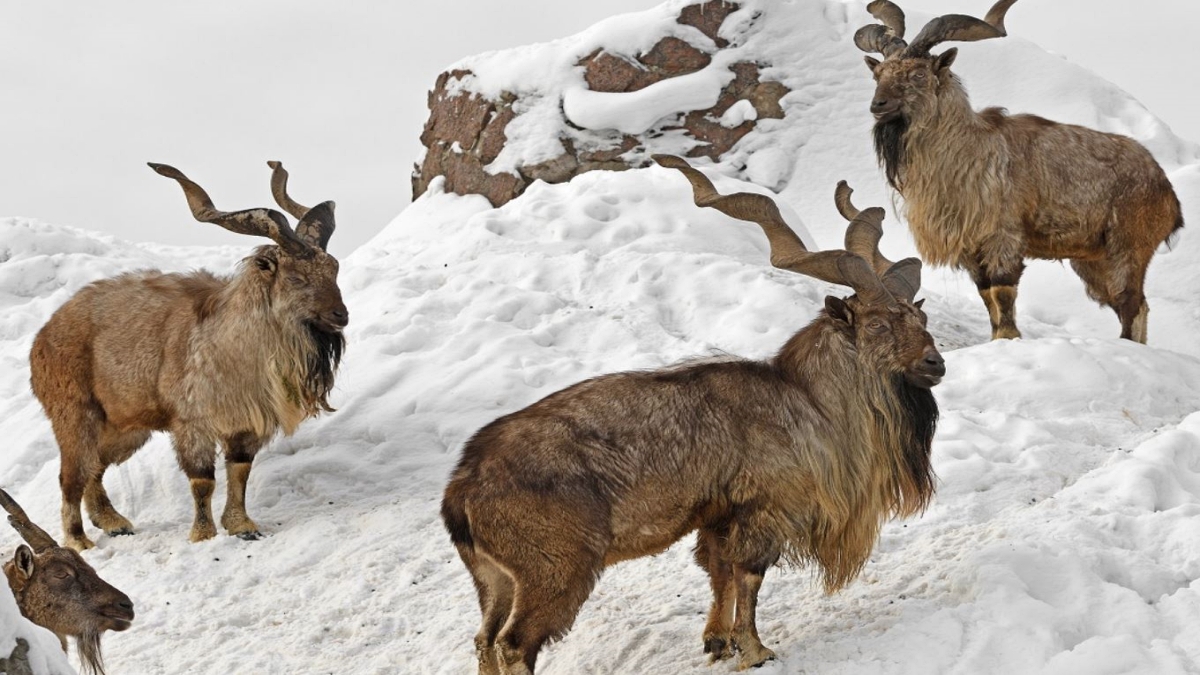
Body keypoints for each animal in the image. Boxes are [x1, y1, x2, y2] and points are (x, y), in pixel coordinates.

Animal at [30, 159, 348, 550]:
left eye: (334, 268)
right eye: (297, 277)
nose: (340, 315)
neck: (233, 345)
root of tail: (43, 336)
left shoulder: (243, 425)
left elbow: (239, 472)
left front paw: (243, 527)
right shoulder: (192, 423)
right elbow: (202, 481)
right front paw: (203, 535)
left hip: (125, 428)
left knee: (94, 468)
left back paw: (113, 522)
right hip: (75, 413)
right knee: (71, 474)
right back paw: (78, 541)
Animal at [441, 154, 945, 667]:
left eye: (921, 318)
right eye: (878, 324)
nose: (934, 363)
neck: (807, 400)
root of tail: (462, 490)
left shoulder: (718, 516)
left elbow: (719, 572)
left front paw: (718, 641)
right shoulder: (761, 512)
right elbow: (748, 576)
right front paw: (754, 650)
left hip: (495, 579)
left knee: (484, 638)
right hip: (554, 570)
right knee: (512, 644)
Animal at [854, 0, 1180, 338]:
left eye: (918, 73)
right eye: (878, 73)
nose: (878, 105)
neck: (965, 152)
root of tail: (1167, 191)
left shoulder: (1004, 236)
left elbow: (1002, 290)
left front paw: (1010, 338)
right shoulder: (972, 249)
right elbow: (987, 296)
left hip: (1127, 247)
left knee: (1130, 303)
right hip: (1092, 259)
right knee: (1135, 305)